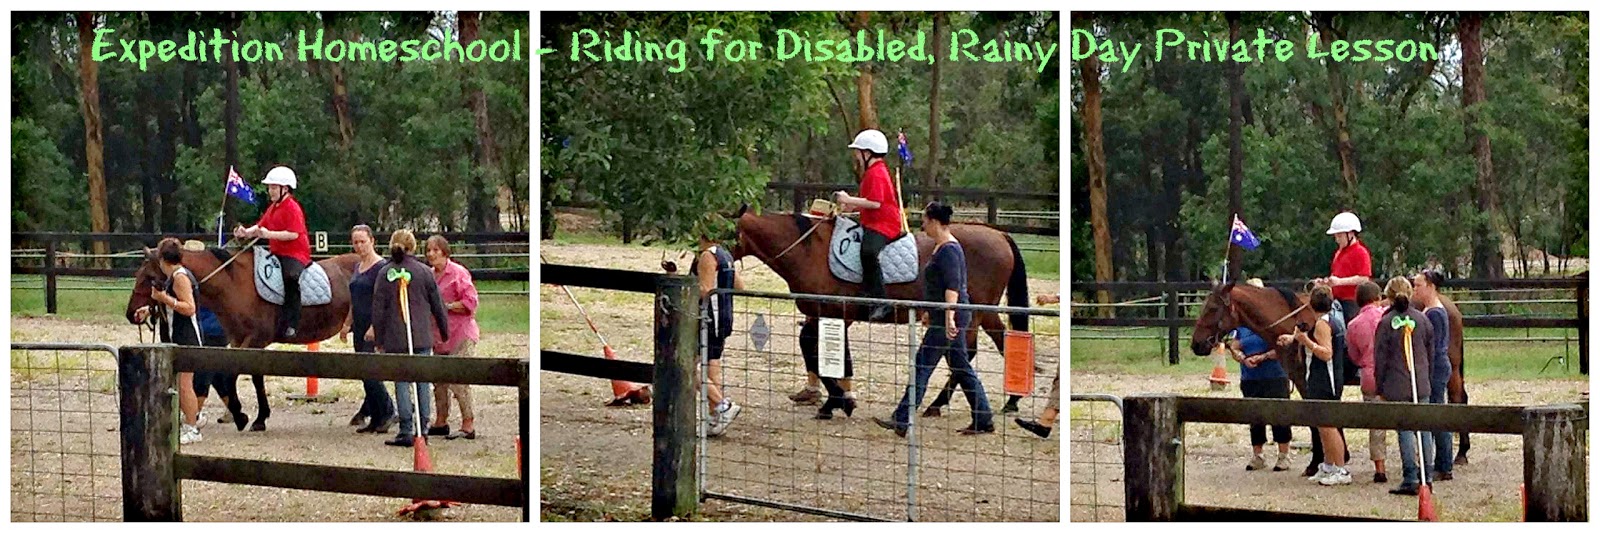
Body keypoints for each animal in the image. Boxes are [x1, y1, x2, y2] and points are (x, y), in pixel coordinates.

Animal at [126, 244, 361, 431]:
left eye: (148, 278)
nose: (132, 313)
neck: (235, 283)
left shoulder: (254, 341)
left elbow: (232, 375)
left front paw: (241, 415)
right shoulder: (241, 342)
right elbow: (252, 377)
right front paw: (258, 417)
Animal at [730, 205, 1032, 417]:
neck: (810, 251)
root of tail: (999, 233)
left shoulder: (837, 314)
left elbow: (816, 349)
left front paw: (838, 402)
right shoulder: (824, 314)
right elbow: (822, 352)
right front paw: (838, 401)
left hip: (972, 311)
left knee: (970, 351)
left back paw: (942, 404)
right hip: (983, 311)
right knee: (998, 342)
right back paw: (1007, 401)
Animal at [1190, 282, 1472, 465]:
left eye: (1213, 309)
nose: (1196, 344)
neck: (1294, 323)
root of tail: (1446, 305)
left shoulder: (1311, 382)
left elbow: (1319, 421)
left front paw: (1317, 462)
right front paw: (1337, 456)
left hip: (1450, 371)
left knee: (1458, 400)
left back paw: (1460, 454)